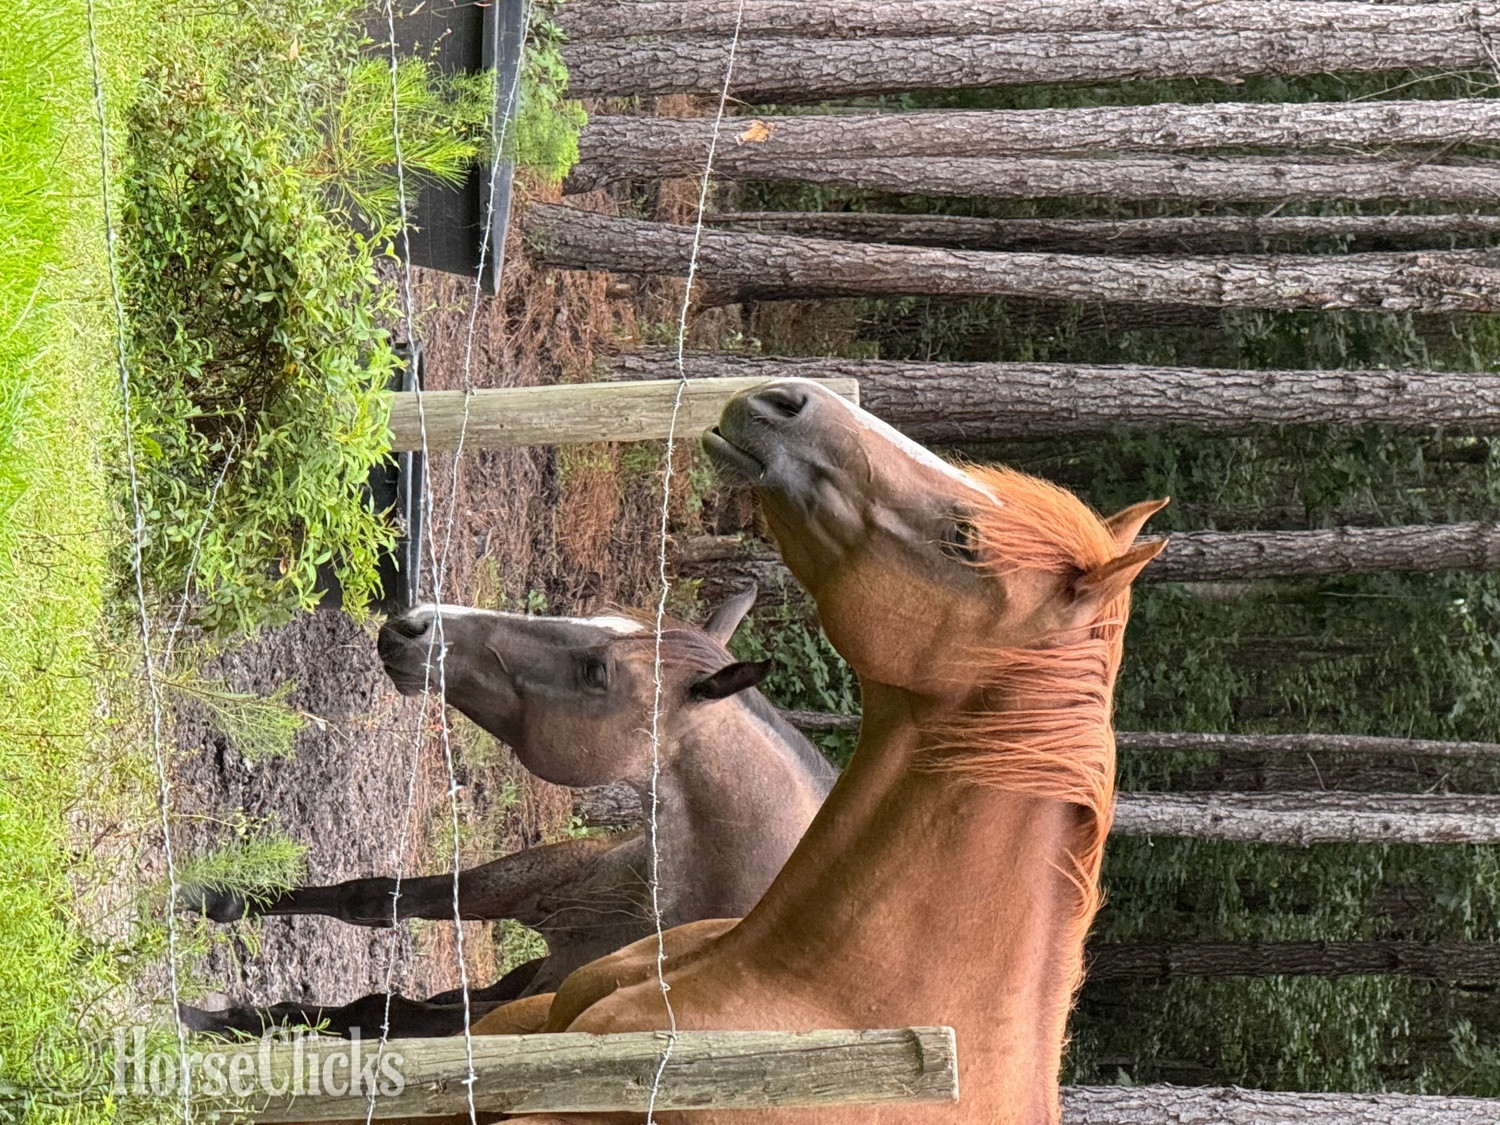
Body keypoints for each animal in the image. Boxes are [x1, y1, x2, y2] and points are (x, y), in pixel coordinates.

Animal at [178, 587, 837, 1039]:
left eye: (595, 671)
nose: (413, 626)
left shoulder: (525, 1010)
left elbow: (379, 1012)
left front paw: (210, 1021)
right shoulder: (536, 880)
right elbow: (371, 898)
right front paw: (212, 898)